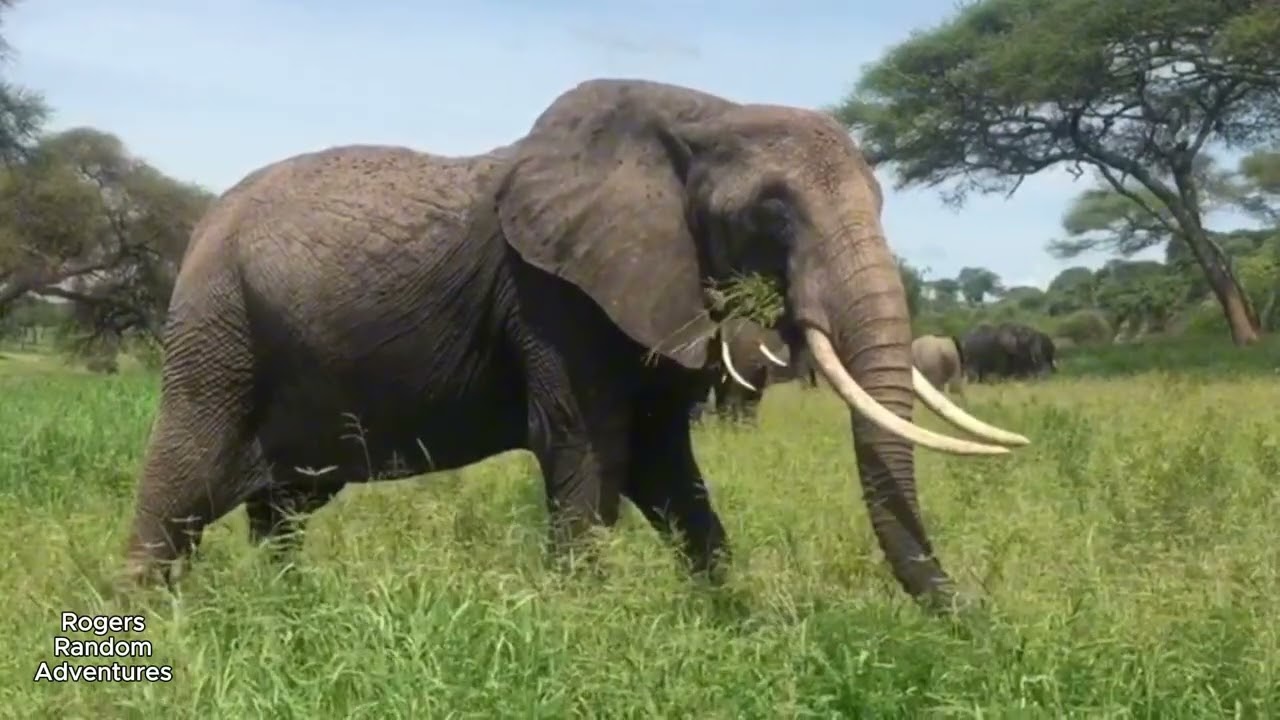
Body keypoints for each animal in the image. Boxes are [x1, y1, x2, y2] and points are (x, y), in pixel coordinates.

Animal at [120, 77, 1031, 608]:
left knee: (276, 510)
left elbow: (669, 474)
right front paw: (582, 631)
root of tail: (202, 226)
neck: (702, 117)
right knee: (180, 485)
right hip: (217, 330)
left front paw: (731, 621)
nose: (980, 620)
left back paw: (292, 610)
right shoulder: (554, 296)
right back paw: (157, 630)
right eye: (770, 213)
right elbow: (590, 457)